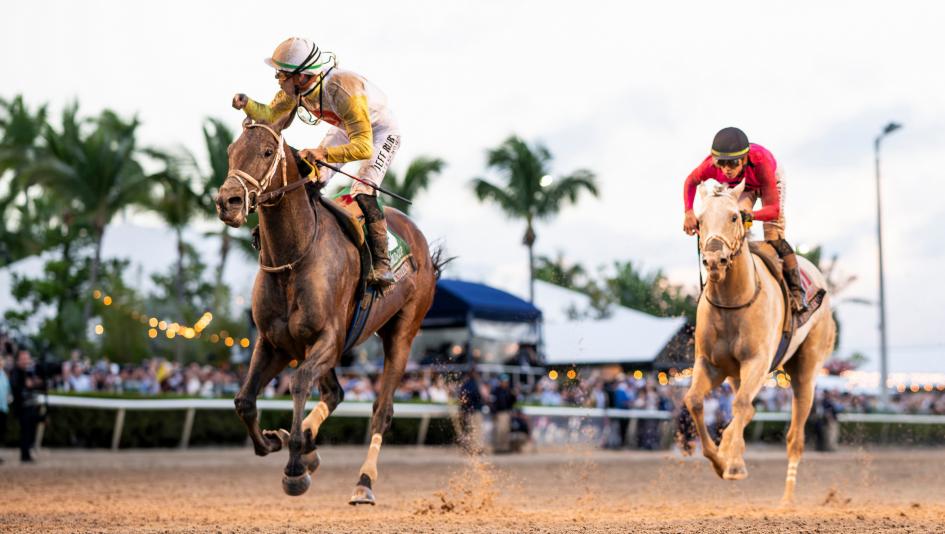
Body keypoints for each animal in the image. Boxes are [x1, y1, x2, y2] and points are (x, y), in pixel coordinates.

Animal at [215, 113, 438, 505]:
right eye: (231, 150)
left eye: (267, 150)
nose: (228, 201)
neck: (293, 258)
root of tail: (420, 241)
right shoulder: (274, 342)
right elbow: (244, 400)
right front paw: (276, 442)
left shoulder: (328, 340)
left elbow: (299, 382)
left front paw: (294, 468)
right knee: (335, 393)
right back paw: (306, 444)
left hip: (402, 333)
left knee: (382, 410)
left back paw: (363, 481)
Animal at [683, 180, 836, 505]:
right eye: (700, 221)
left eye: (734, 217)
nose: (714, 261)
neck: (732, 301)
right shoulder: (710, 364)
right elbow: (694, 401)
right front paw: (721, 459)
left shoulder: (757, 361)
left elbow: (741, 404)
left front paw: (731, 462)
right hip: (734, 373)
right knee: (748, 409)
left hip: (806, 369)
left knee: (795, 437)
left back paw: (787, 500)